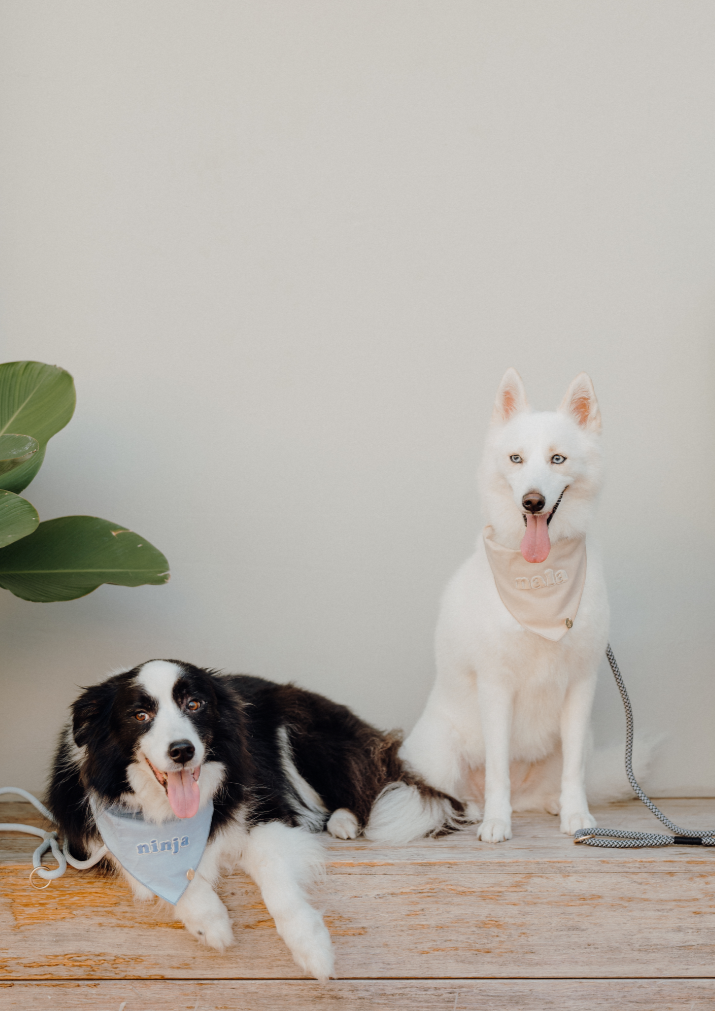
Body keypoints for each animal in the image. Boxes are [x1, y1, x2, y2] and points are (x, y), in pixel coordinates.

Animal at [49, 659, 465, 974]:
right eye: (140, 715)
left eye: (195, 705)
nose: (182, 750)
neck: (170, 814)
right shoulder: (94, 834)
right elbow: (153, 869)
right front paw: (209, 920)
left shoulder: (269, 809)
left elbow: (270, 865)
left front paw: (311, 944)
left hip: (303, 730)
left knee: (362, 790)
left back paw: (343, 821)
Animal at [402, 368, 610, 841]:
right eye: (516, 459)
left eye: (557, 459)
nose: (532, 502)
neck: (541, 580)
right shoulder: (496, 687)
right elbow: (498, 769)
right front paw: (497, 822)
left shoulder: (580, 686)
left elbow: (573, 771)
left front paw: (576, 815)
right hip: (439, 754)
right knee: (453, 795)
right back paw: (480, 811)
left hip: (582, 740)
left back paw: (548, 804)